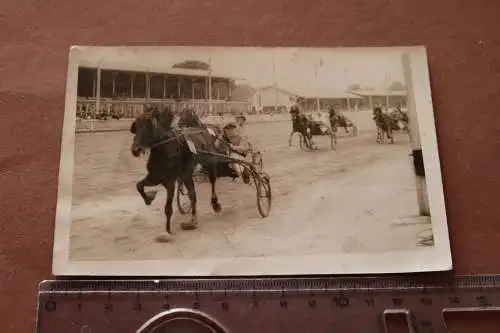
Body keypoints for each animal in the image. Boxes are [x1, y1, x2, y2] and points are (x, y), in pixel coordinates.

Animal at [129, 105, 223, 240]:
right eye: (136, 125)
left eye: (149, 125)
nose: (136, 150)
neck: (164, 149)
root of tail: (202, 130)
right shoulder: (155, 177)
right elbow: (139, 185)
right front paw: (149, 197)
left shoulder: (170, 182)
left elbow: (168, 208)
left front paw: (167, 231)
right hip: (187, 175)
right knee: (193, 195)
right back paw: (192, 220)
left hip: (209, 164)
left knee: (213, 181)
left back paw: (215, 203)